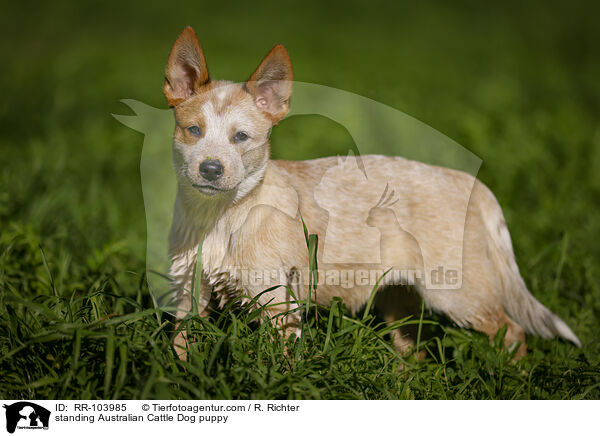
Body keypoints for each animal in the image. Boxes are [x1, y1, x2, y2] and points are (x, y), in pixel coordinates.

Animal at [164, 28, 580, 362]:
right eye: (193, 130)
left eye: (241, 137)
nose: (211, 169)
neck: (221, 216)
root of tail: (468, 181)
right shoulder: (187, 293)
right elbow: (180, 347)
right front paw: (178, 379)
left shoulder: (277, 303)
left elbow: (278, 364)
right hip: (400, 298)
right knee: (414, 348)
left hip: (459, 294)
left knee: (512, 332)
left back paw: (514, 378)